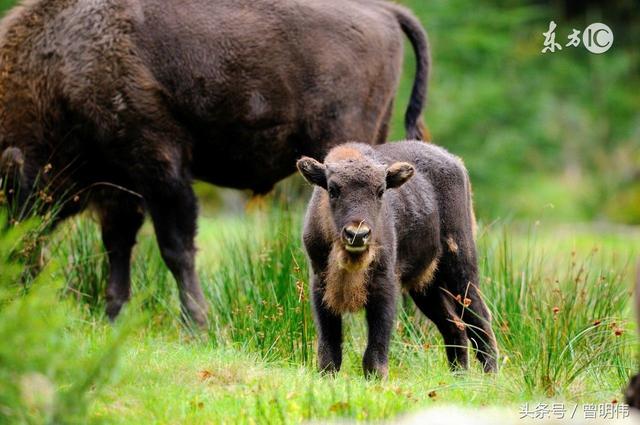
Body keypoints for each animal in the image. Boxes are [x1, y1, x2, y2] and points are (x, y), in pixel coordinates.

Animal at [2, 0, 430, 324]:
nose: (13, 285)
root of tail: (384, 10)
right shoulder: (119, 187)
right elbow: (118, 248)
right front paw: (114, 317)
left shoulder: (161, 169)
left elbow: (175, 249)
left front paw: (197, 325)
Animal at [298, 141, 498, 376]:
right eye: (332, 189)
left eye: (380, 190)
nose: (358, 234)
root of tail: (456, 163)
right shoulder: (321, 282)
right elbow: (329, 347)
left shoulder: (384, 284)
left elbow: (376, 347)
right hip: (427, 288)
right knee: (454, 327)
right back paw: (459, 376)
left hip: (461, 267)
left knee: (479, 319)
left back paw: (490, 376)